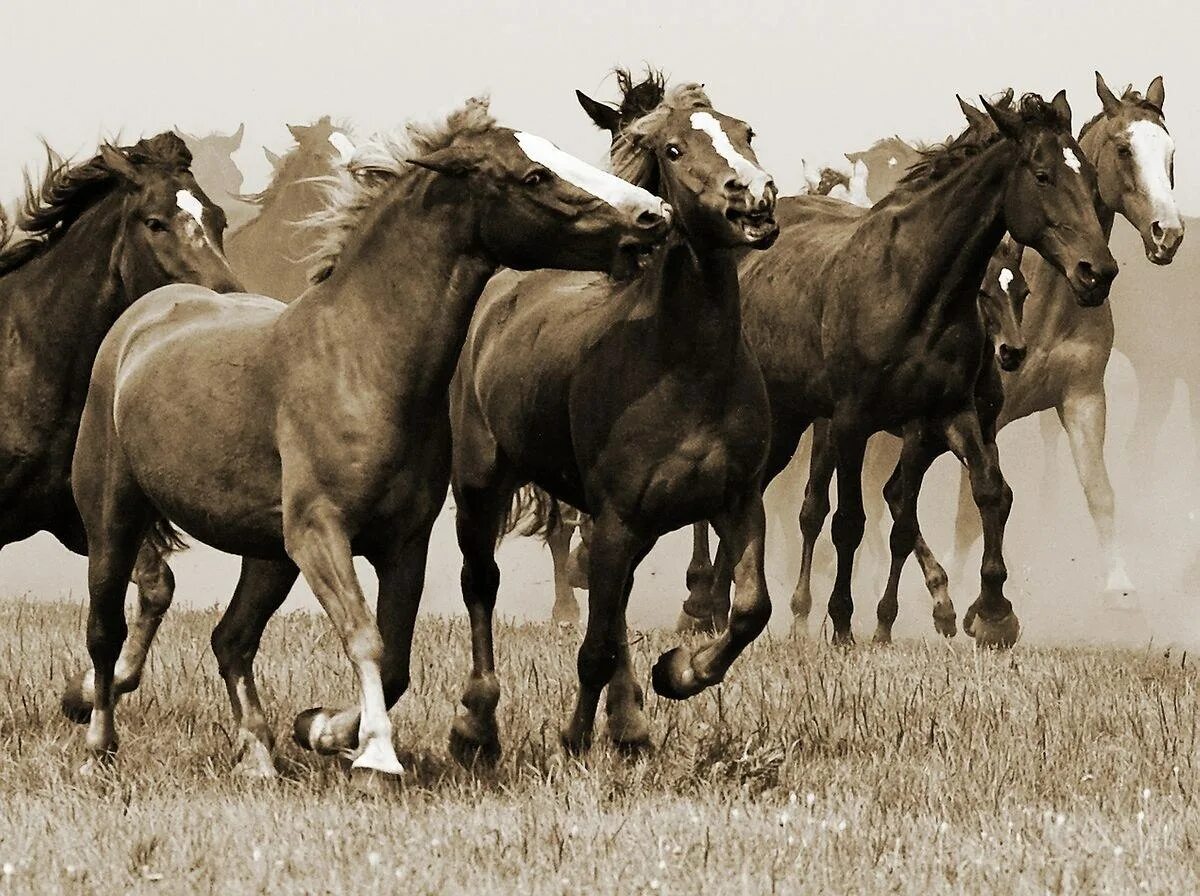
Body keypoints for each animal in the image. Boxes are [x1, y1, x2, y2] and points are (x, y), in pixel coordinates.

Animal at [451, 78, 777, 762]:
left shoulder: (737, 501)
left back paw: (629, 722)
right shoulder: (616, 519)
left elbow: (749, 609)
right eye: (674, 149)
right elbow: (595, 647)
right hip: (480, 486)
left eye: (745, 132)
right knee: (481, 585)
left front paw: (677, 673)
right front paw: (573, 738)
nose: (755, 197)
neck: (683, 367)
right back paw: (477, 727)